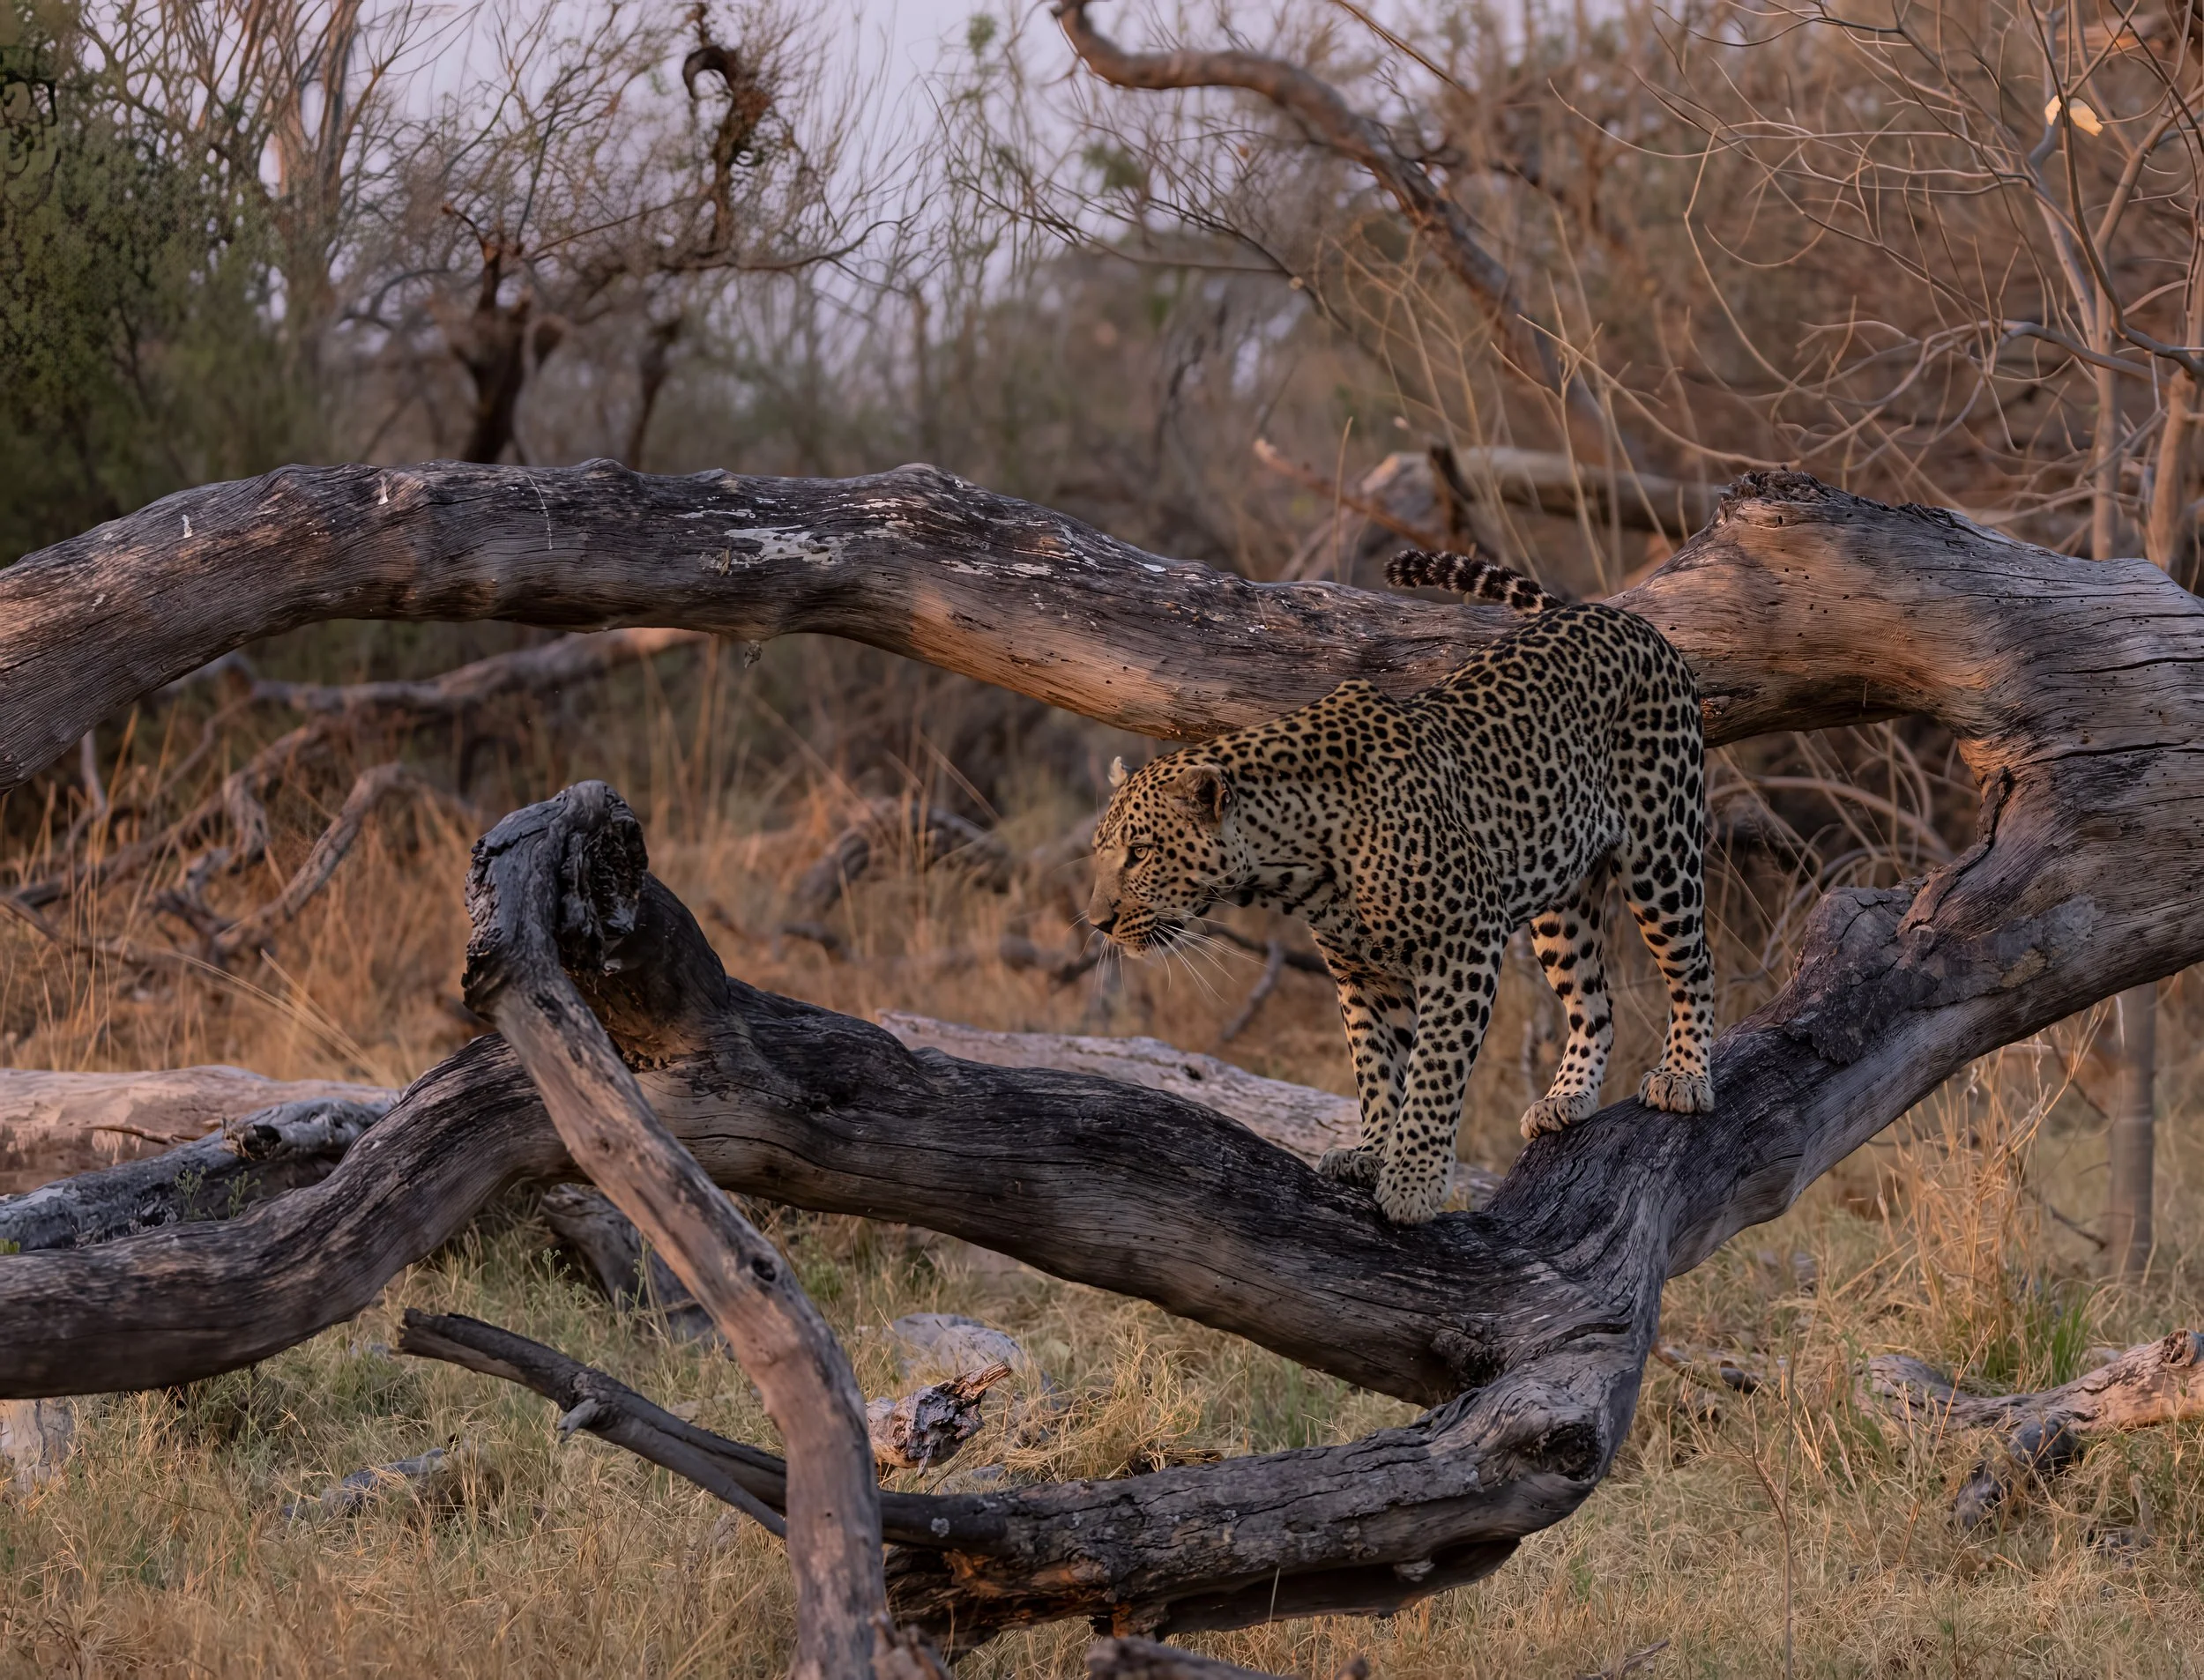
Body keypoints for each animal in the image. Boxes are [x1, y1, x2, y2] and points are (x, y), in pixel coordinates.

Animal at [1087, 547, 1716, 1225]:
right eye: (1102, 855)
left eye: (1141, 853)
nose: (1097, 922)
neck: (1294, 856)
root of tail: (1613, 615)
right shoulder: (1361, 974)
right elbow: (1377, 1067)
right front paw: (1371, 1153)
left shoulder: (1465, 940)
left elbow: (1434, 1068)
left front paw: (1414, 1180)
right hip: (1561, 903)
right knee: (1594, 1004)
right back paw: (1566, 1097)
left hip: (1661, 852)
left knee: (1693, 963)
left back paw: (1683, 1077)